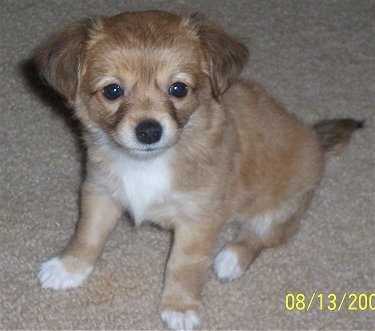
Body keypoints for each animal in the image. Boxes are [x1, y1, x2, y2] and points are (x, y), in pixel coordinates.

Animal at [35, 9, 364, 330]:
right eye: (113, 90)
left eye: (178, 88)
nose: (149, 131)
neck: (148, 163)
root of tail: (314, 137)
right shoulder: (100, 191)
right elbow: (87, 236)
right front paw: (69, 268)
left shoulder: (198, 219)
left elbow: (183, 266)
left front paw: (179, 307)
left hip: (278, 211)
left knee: (260, 237)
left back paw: (231, 258)